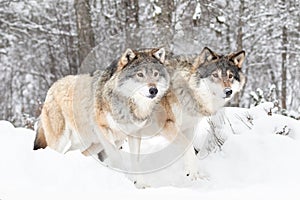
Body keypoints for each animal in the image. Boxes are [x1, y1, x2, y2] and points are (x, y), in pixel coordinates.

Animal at [33, 47, 169, 170]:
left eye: (155, 74)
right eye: (140, 74)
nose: (153, 90)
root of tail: (52, 86)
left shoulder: (133, 134)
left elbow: (135, 160)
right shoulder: (103, 130)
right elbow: (117, 158)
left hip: (94, 143)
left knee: (72, 153)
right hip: (61, 140)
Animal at [162, 47, 246, 180]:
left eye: (230, 76)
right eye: (215, 75)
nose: (228, 91)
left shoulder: (188, 127)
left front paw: (190, 174)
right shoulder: (167, 125)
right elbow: (190, 150)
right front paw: (195, 176)